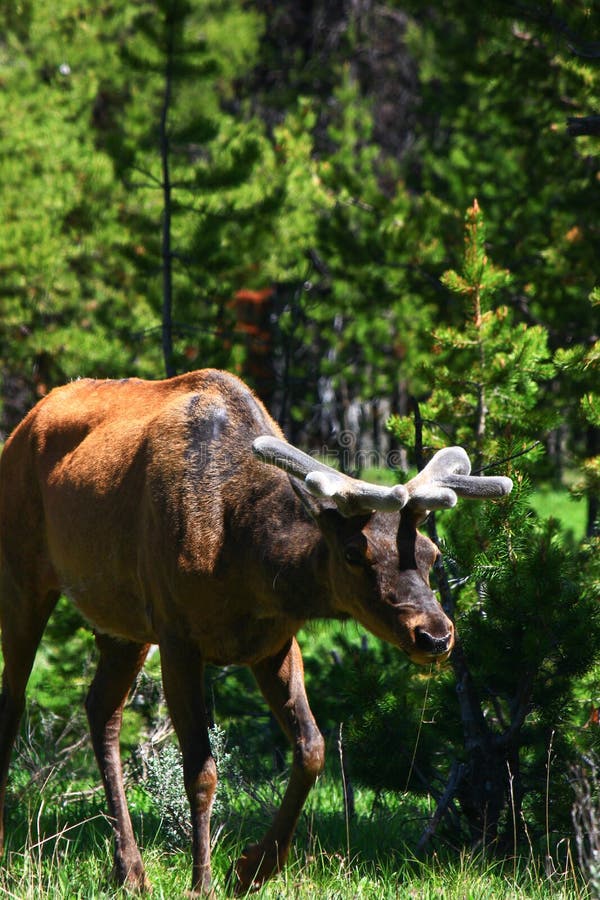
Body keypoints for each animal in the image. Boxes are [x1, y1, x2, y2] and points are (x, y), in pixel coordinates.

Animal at [0, 370, 510, 892]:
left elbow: (312, 749)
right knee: (14, 702)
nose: (435, 635)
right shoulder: (177, 635)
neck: (245, 562)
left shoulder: (275, 642)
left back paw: (131, 870)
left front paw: (253, 867)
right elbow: (201, 771)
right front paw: (202, 882)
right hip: (23, 575)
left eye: (432, 553)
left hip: (120, 624)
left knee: (101, 708)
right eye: (354, 552)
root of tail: (21, 426)